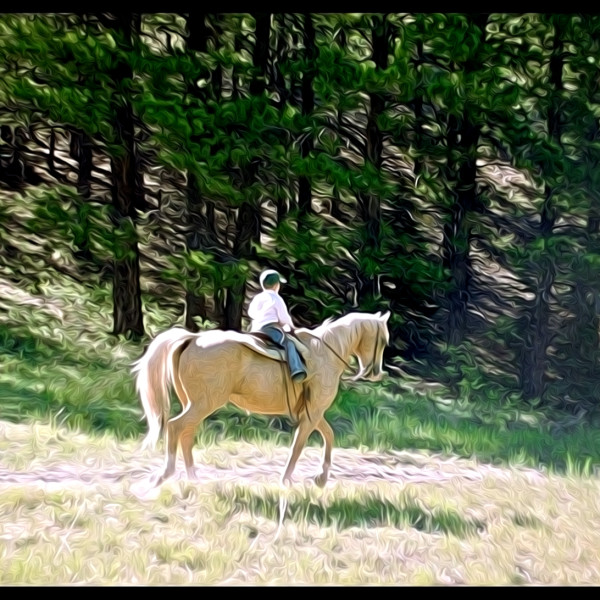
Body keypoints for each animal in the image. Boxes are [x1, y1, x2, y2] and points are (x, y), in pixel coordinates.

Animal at [134, 312, 392, 490]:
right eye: (383, 341)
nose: (376, 373)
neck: (325, 353)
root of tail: (192, 338)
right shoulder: (313, 413)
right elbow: (299, 445)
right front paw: (286, 480)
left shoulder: (313, 413)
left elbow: (328, 435)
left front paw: (321, 477)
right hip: (202, 404)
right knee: (175, 427)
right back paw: (165, 475)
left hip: (196, 405)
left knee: (186, 433)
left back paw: (193, 478)